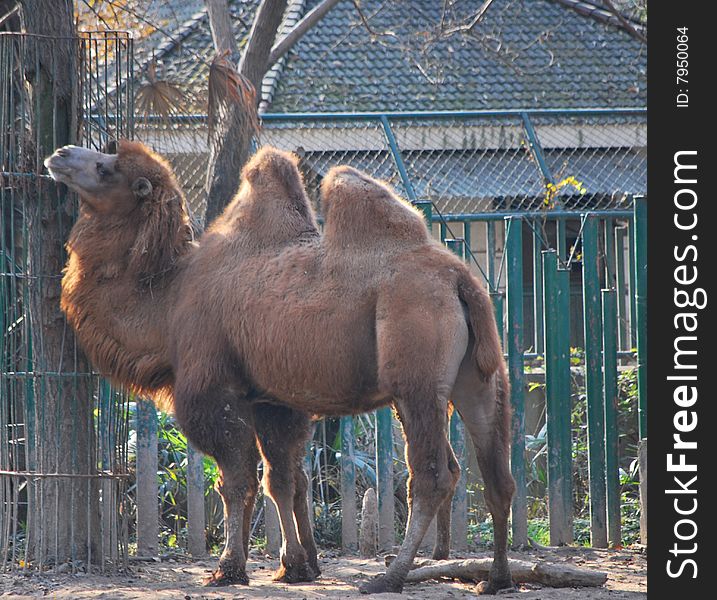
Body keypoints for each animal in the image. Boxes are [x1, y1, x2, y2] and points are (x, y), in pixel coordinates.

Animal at [44, 141, 516, 596]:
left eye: (107, 168)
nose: (60, 155)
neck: (168, 302)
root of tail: (461, 279)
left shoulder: (216, 389)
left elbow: (237, 480)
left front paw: (228, 568)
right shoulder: (271, 399)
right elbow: (283, 479)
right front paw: (297, 566)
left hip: (415, 377)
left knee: (433, 475)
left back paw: (389, 577)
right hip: (478, 377)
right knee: (496, 472)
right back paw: (495, 578)